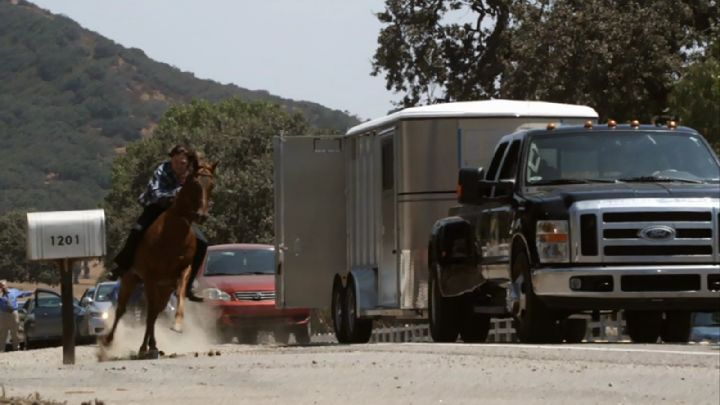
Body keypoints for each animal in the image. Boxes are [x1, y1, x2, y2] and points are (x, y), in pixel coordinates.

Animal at [102, 159, 218, 356]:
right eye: (195, 183)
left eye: (211, 185)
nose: (202, 215)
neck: (172, 233)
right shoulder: (150, 277)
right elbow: (148, 313)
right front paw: (143, 348)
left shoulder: (183, 272)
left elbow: (179, 296)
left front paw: (177, 325)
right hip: (131, 278)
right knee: (122, 310)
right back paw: (111, 342)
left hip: (164, 288)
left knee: (156, 312)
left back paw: (152, 346)